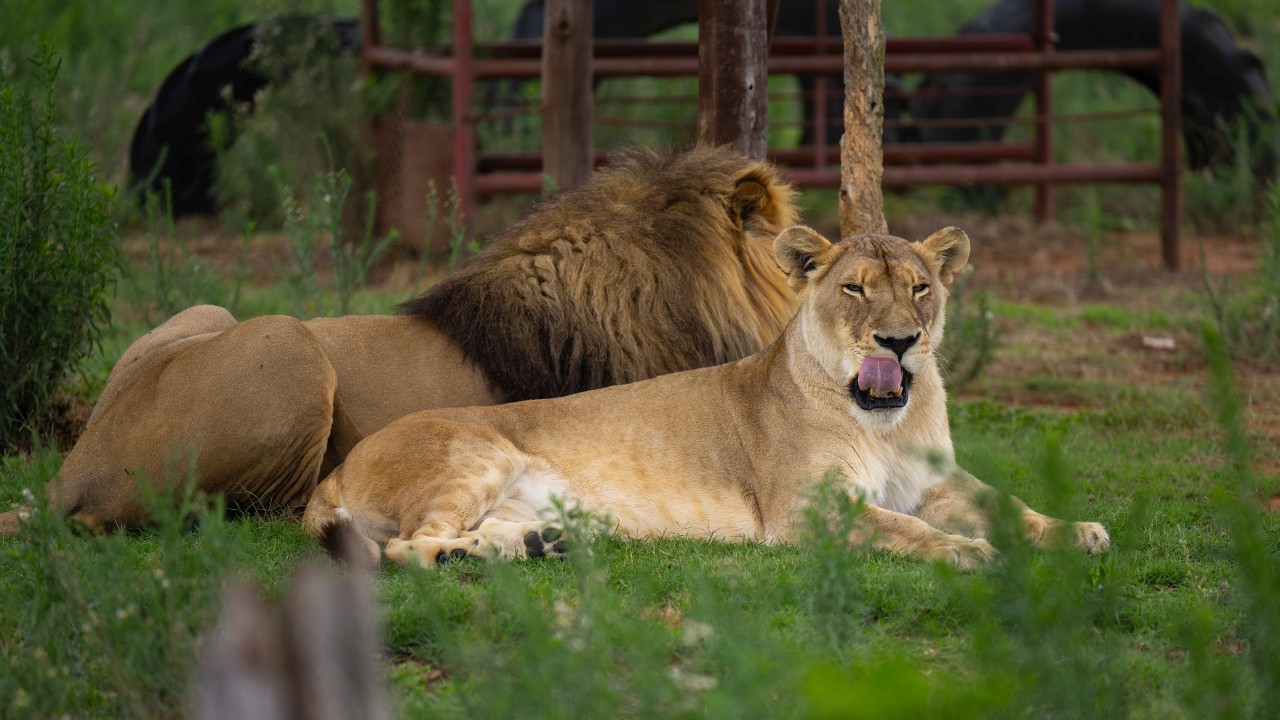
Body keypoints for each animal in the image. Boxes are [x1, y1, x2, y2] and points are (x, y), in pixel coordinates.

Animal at [302, 225, 1111, 569]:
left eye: (919, 287)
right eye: (854, 289)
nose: (900, 340)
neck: (885, 422)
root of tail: (332, 472)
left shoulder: (939, 482)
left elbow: (1008, 503)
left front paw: (1079, 532)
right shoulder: (806, 511)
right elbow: (908, 530)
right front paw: (970, 551)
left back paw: (537, 544)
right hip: (474, 456)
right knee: (405, 547)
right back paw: (473, 557)